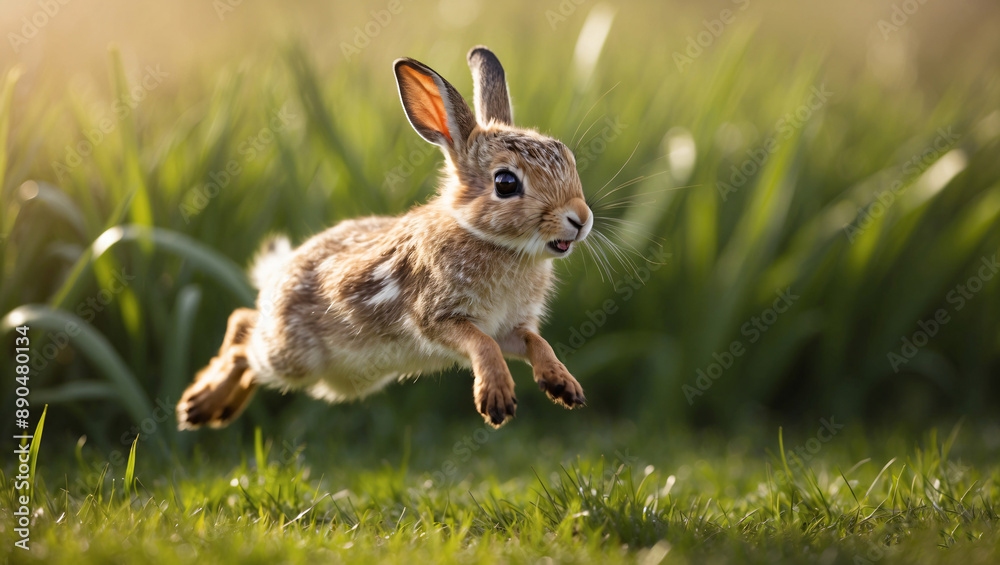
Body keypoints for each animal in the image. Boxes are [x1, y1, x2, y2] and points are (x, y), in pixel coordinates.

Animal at [177, 46, 593, 430]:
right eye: (506, 183)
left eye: (570, 161)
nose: (581, 219)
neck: (492, 241)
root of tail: (276, 274)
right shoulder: (437, 316)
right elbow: (482, 344)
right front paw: (496, 399)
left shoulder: (512, 328)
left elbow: (536, 343)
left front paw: (563, 385)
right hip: (293, 357)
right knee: (242, 335)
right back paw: (200, 404)